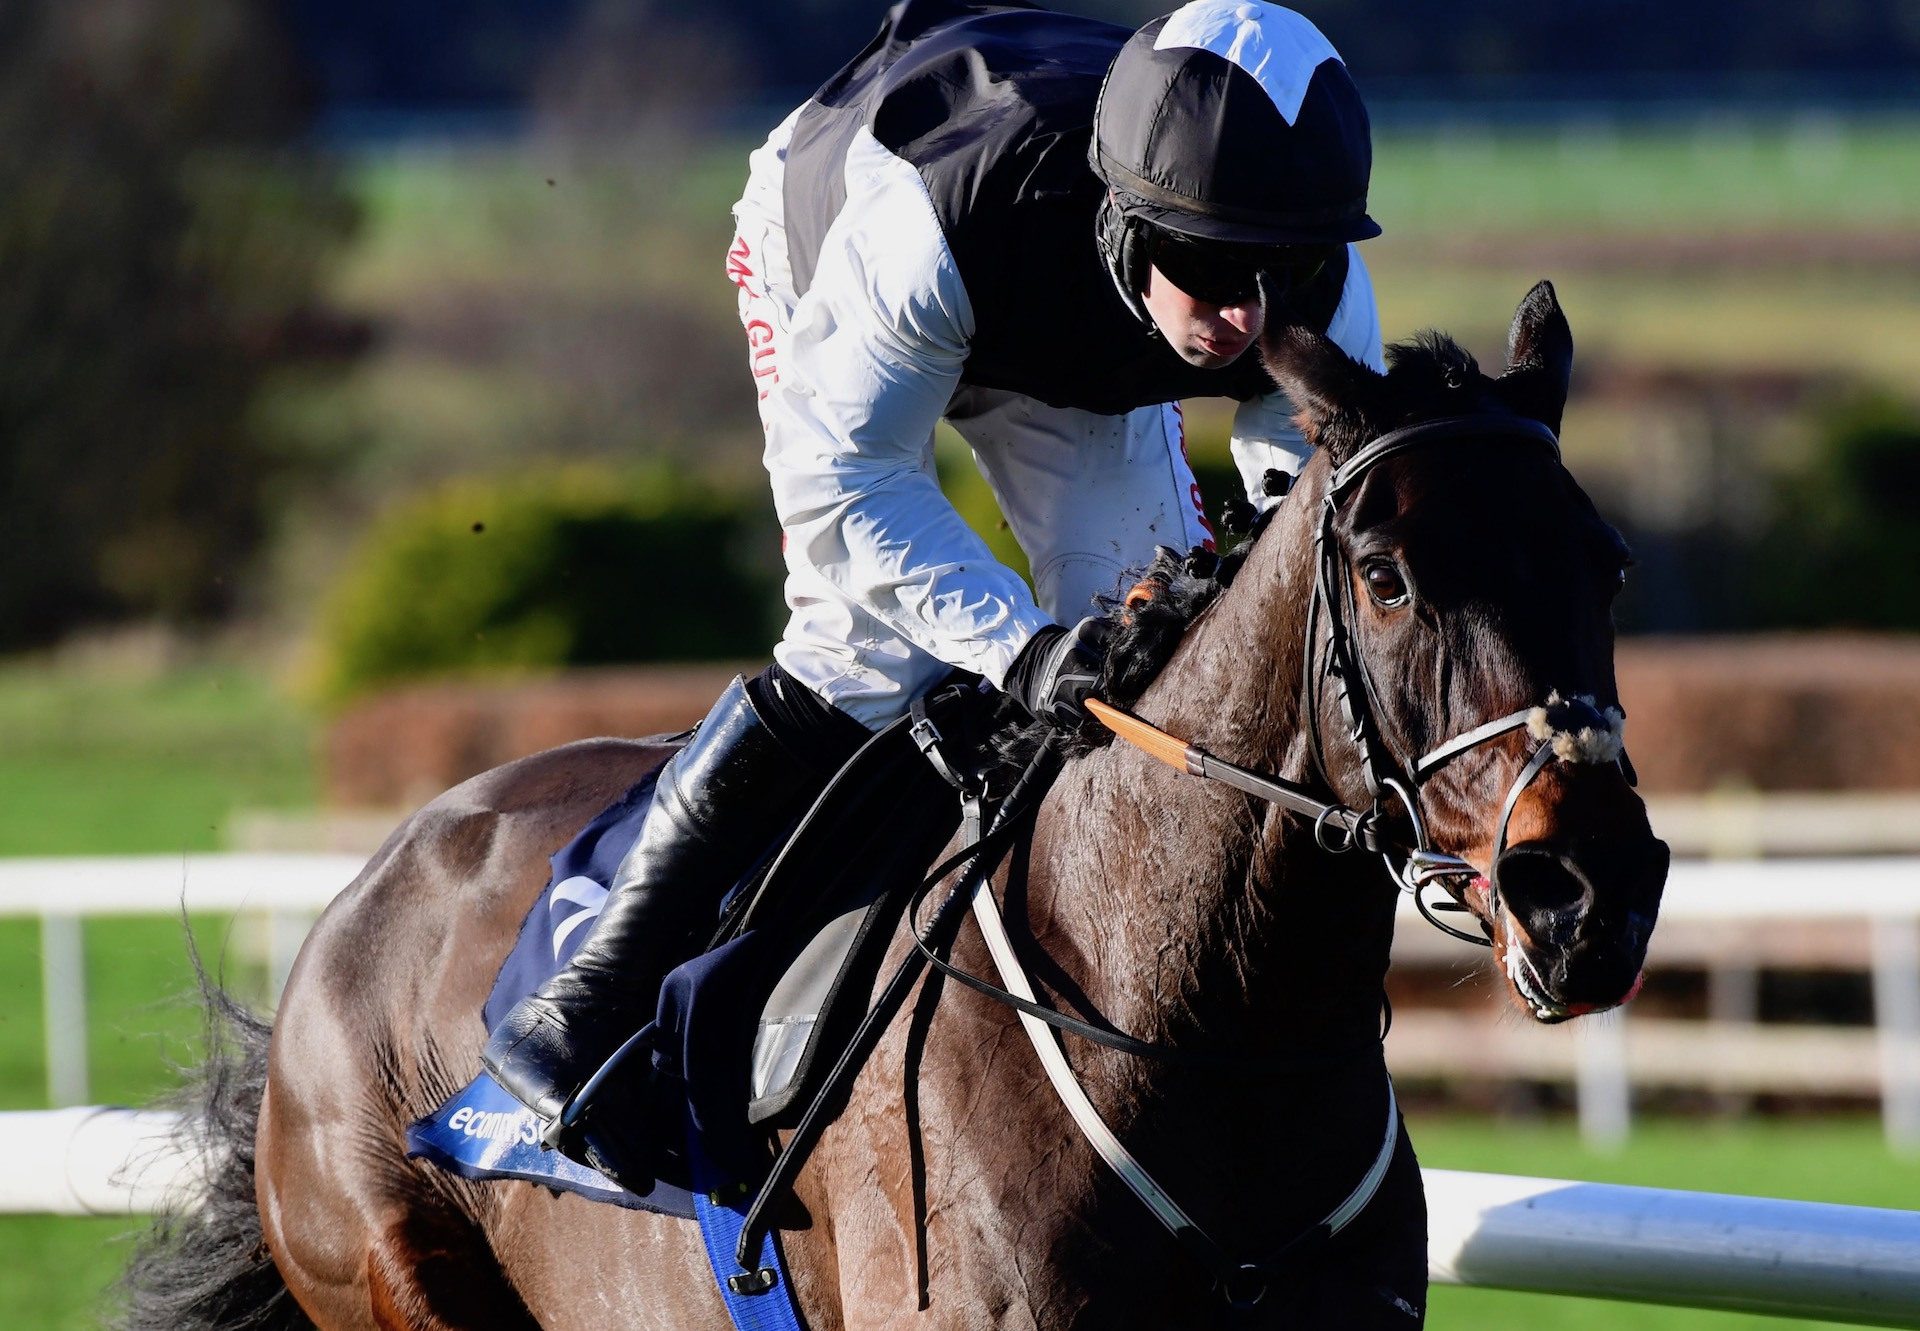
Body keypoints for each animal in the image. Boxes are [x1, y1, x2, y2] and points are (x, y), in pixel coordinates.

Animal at [127, 282, 1666, 1329]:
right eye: (1389, 574)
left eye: (1606, 561)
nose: (1588, 889)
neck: (1213, 1037)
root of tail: (359, 895)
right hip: (391, 1264)